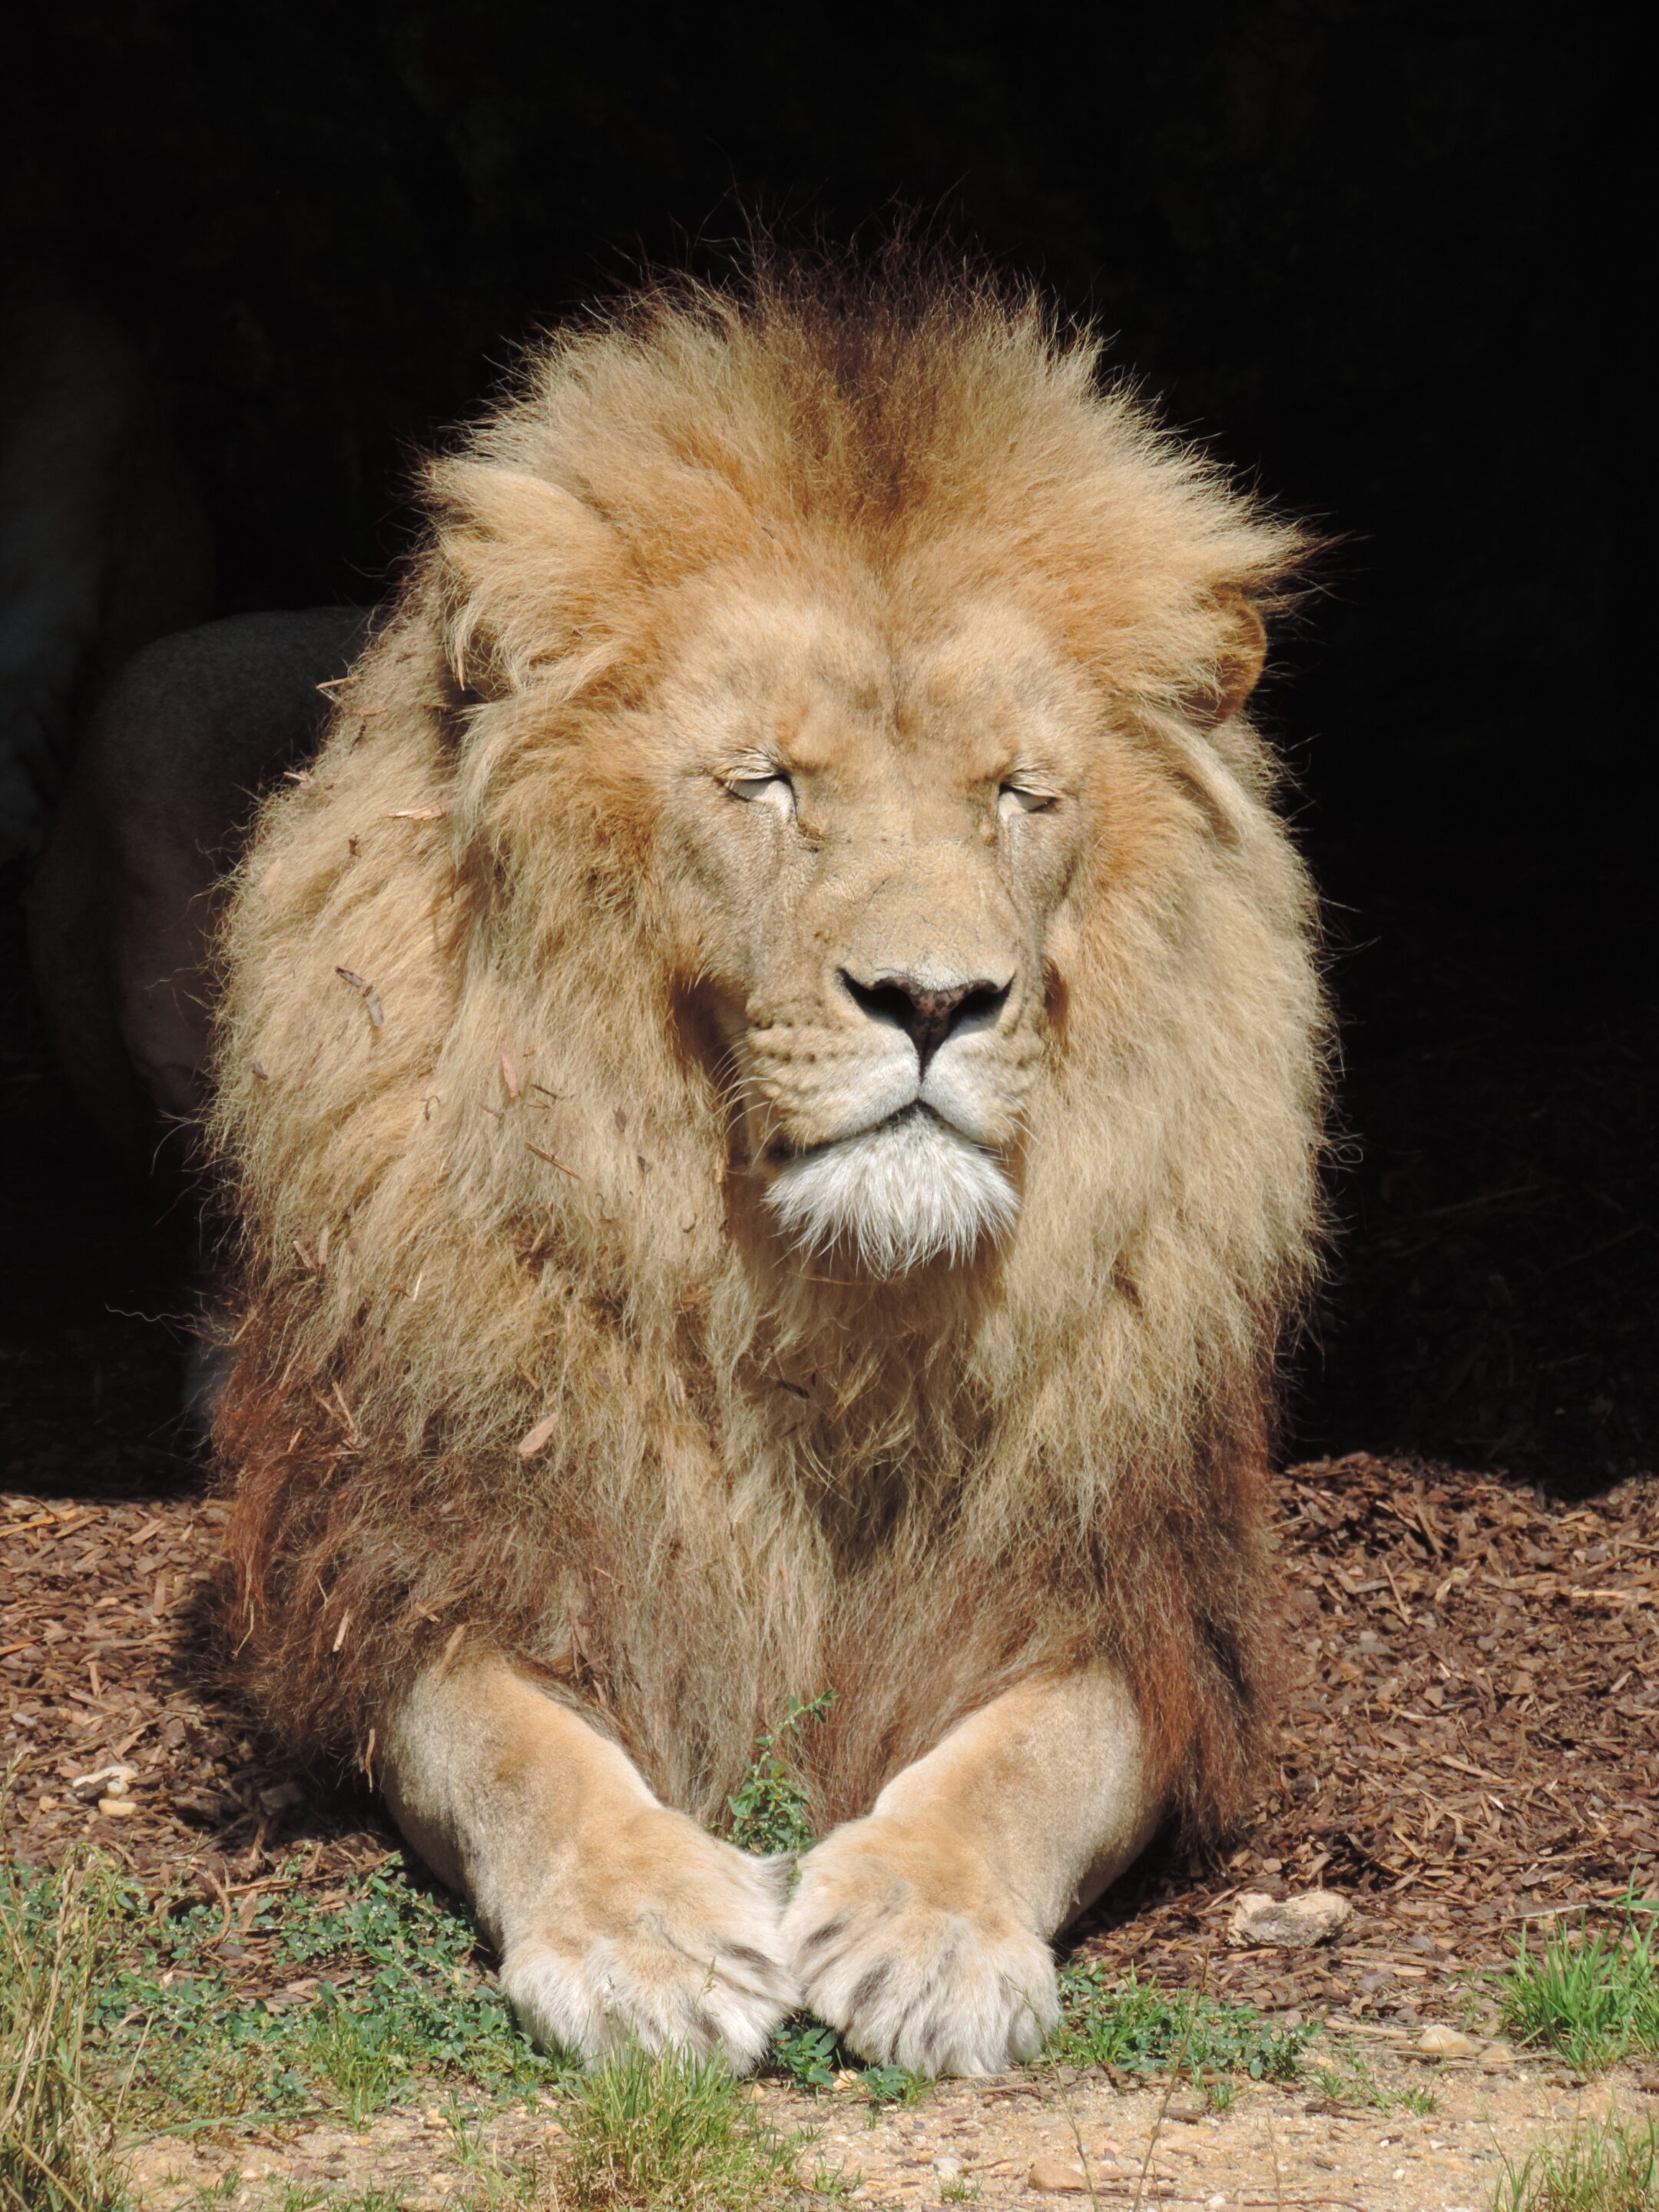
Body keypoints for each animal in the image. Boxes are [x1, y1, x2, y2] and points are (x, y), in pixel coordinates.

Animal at [207, 261, 1325, 2079]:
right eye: (768, 785)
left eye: (1019, 794)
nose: (934, 1000)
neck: (829, 1308)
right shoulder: (426, 1560)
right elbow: (514, 1746)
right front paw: (648, 1934)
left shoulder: (1133, 1594)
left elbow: (1037, 1755)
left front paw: (926, 1928)